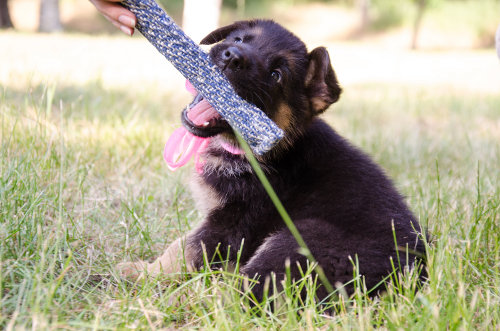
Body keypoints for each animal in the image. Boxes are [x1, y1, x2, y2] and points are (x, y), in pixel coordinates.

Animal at [117, 19, 426, 302]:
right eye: (239, 38)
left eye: (277, 75)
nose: (232, 56)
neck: (257, 151)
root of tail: (408, 281)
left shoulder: (233, 221)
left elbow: (184, 247)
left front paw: (143, 272)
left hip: (299, 239)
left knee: (245, 296)